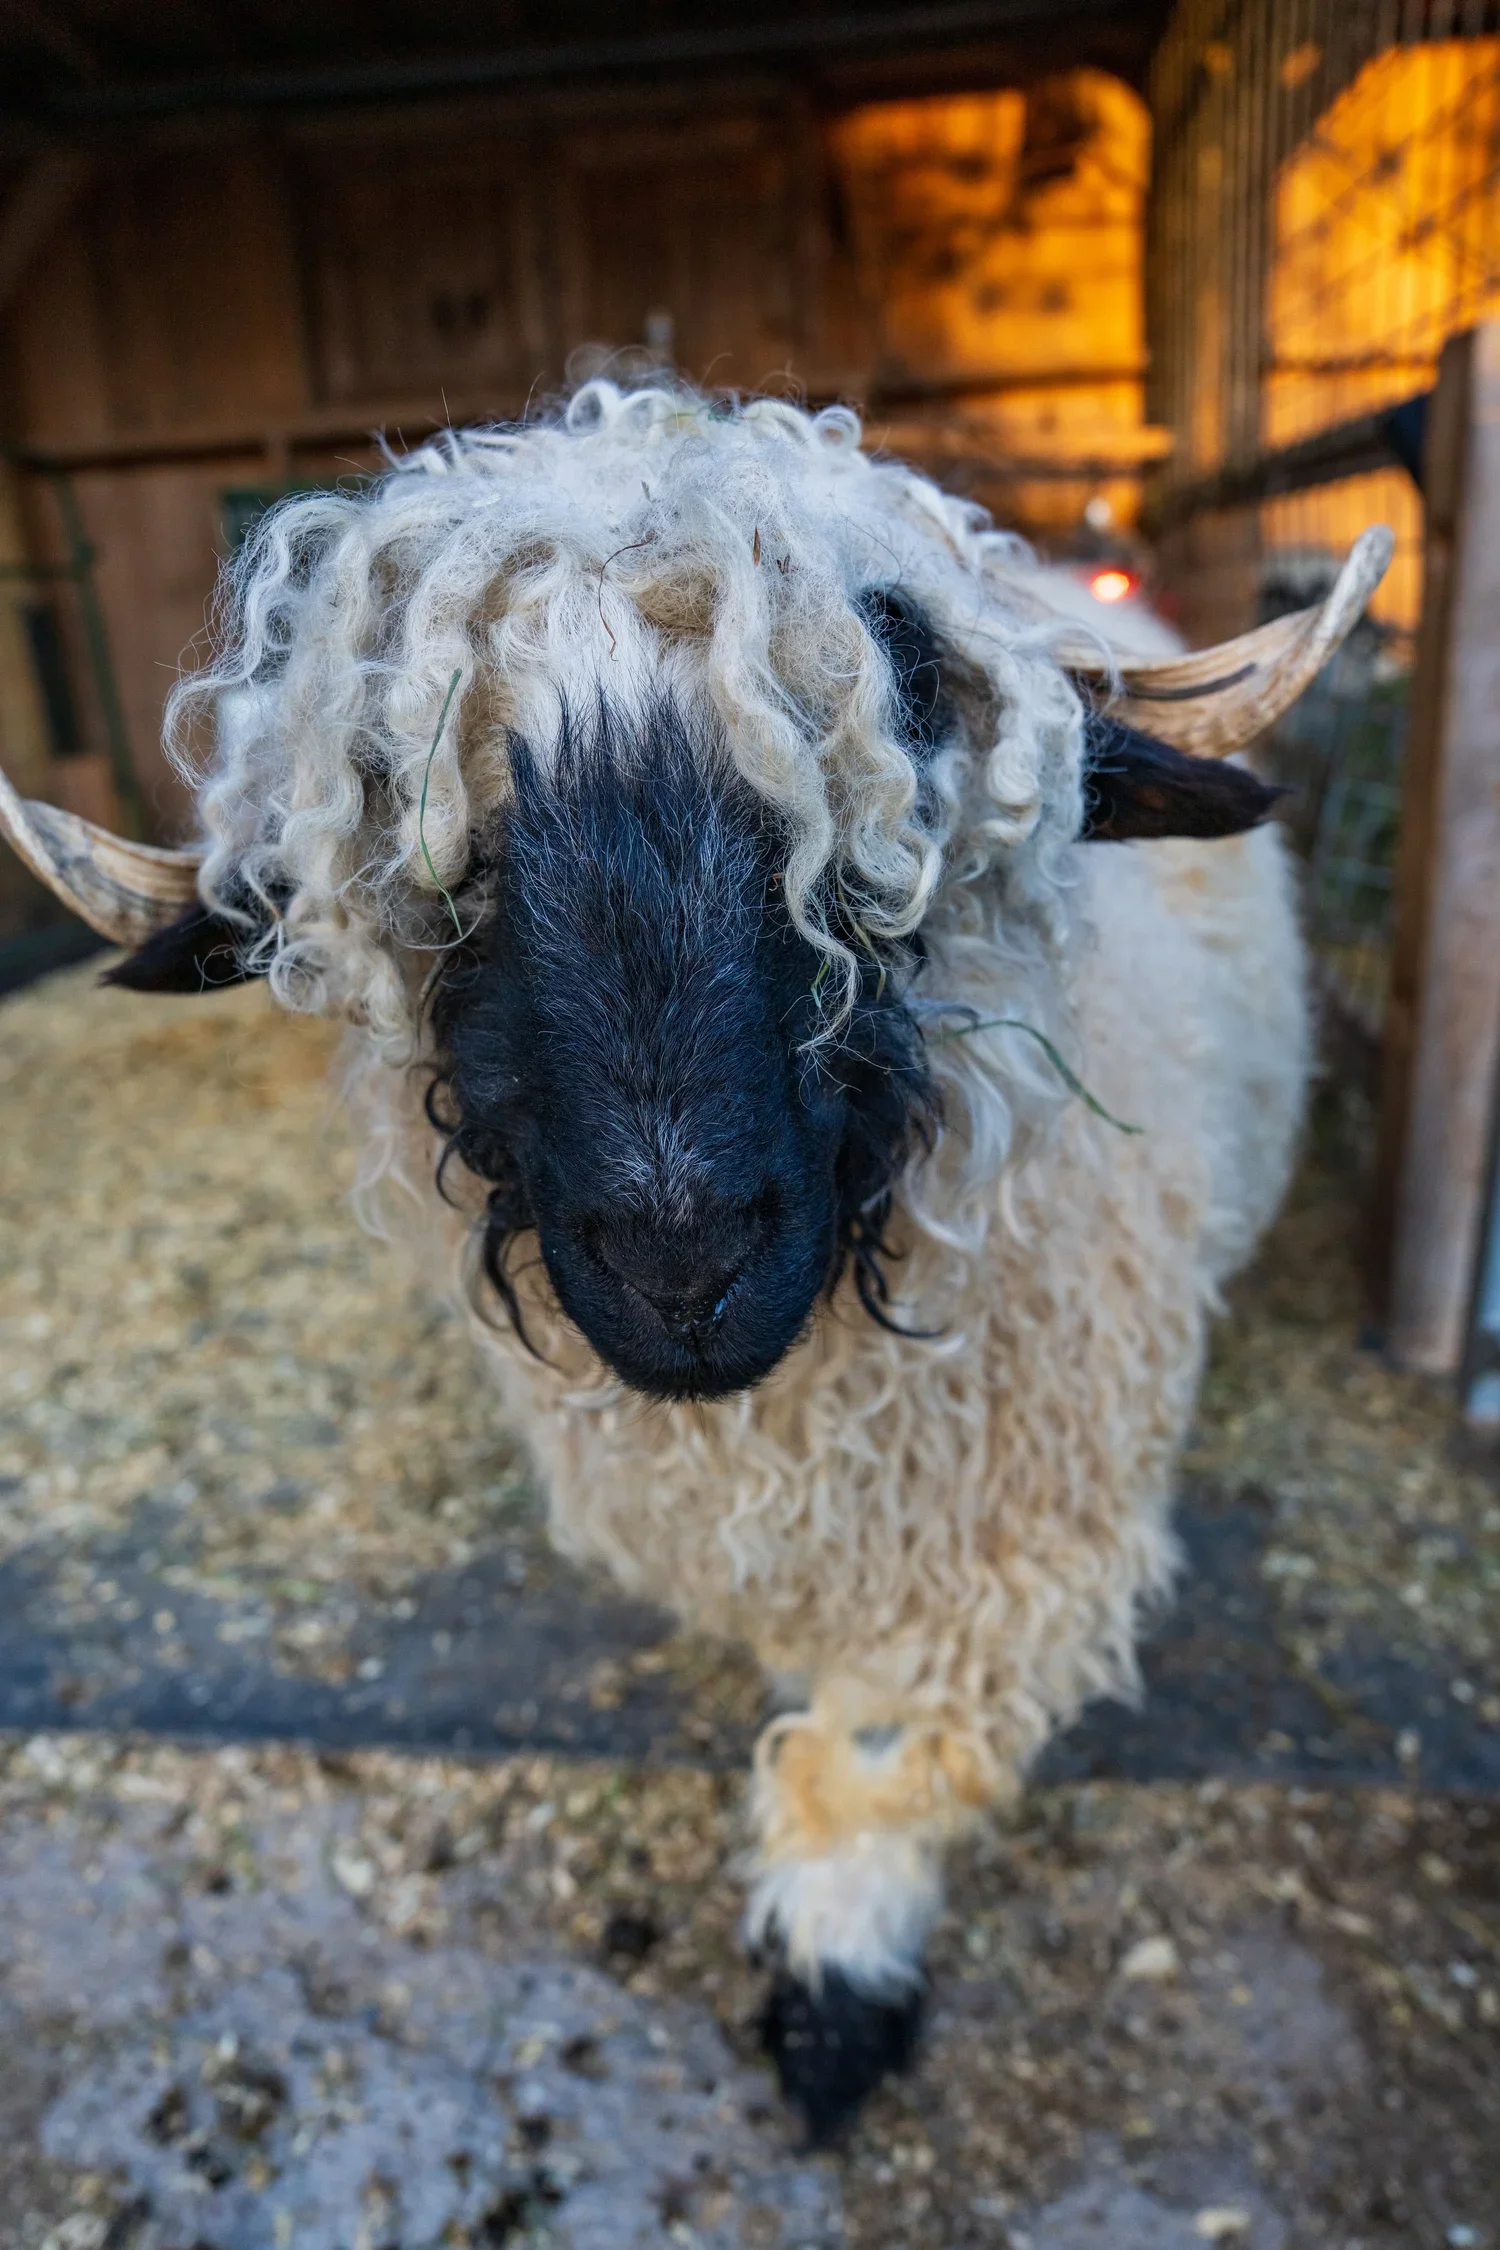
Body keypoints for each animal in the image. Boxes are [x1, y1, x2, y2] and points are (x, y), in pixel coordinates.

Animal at [1, 381, 1391, 2141]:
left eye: (906, 682)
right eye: (383, 778)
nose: (680, 1260)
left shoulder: (1034, 1531)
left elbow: (885, 1747)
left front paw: (834, 1984)